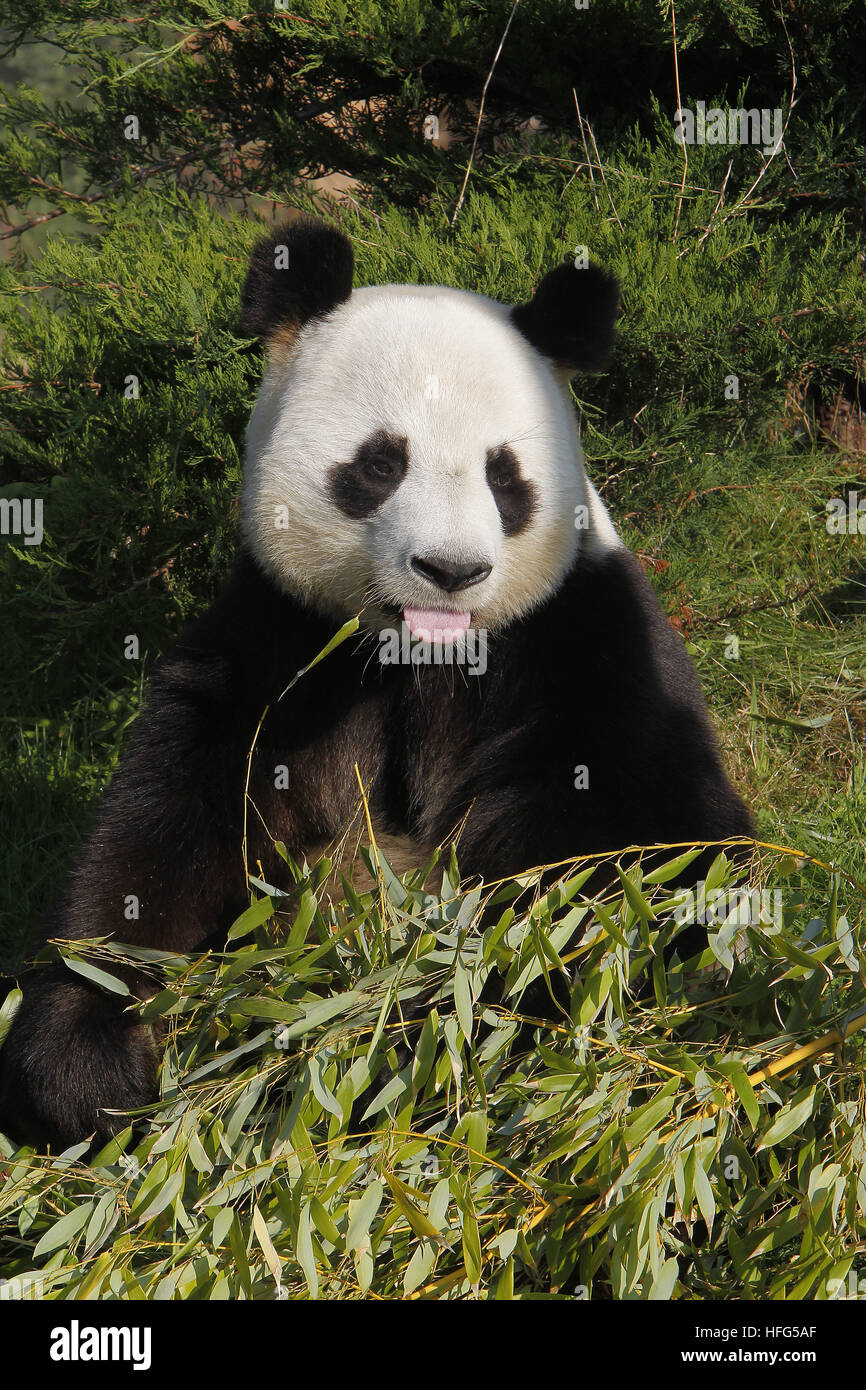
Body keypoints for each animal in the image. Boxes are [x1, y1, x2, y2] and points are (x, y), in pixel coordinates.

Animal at [0, 219, 750, 1150]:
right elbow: (164, 831)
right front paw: (88, 1068)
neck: (417, 658)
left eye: (505, 476)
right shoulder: (280, 640)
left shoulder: (581, 641)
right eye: (382, 464)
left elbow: (627, 860)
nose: (451, 569)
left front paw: (420, 1025)